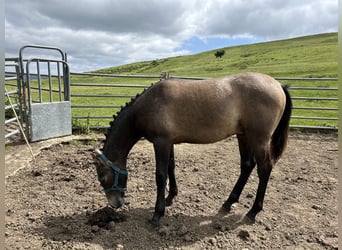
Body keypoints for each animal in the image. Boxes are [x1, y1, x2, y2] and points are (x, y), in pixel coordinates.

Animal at [93, 72, 292, 227]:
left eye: (102, 177)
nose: (115, 204)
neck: (148, 105)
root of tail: (278, 85)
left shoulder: (161, 142)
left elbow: (160, 175)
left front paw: (158, 214)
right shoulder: (169, 142)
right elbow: (171, 168)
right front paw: (170, 197)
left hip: (259, 139)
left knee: (264, 169)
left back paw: (253, 211)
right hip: (243, 135)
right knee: (247, 165)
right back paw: (229, 202)